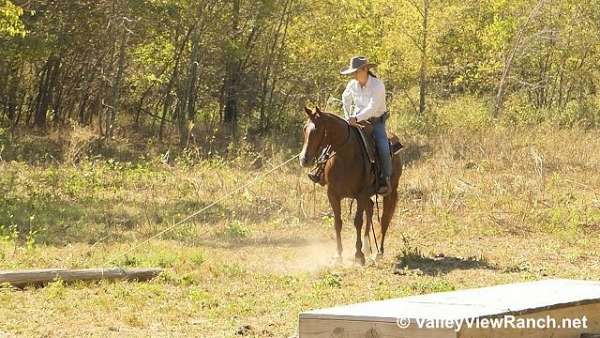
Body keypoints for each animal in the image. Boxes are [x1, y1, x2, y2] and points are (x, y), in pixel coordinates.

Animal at [298, 107, 400, 266]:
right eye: (305, 129)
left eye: (318, 130)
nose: (304, 159)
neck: (345, 157)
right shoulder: (333, 194)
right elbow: (337, 222)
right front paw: (338, 255)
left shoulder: (360, 195)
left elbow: (357, 222)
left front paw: (359, 255)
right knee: (370, 209)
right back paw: (367, 246)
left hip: (390, 192)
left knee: (384, 219)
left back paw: (378, 253)